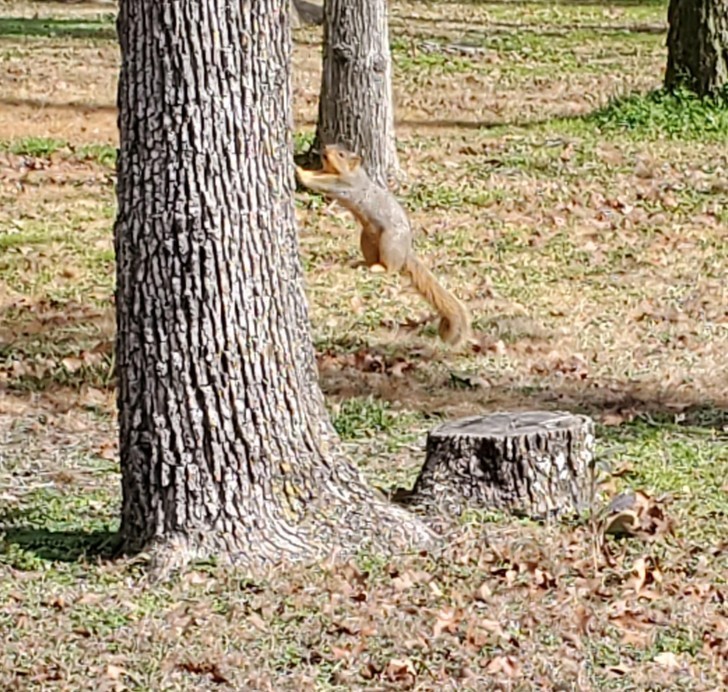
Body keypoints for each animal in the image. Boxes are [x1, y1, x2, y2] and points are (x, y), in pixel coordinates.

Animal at [296, 145, 472, 346]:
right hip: (367, 240)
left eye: (341, 154)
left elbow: (320, 183)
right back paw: (363, 263)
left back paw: (379, 268)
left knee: (392, 268)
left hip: (389, 243)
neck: (355, 173)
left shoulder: (343, 185)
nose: (325, 148)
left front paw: (298, 171)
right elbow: (316, 174)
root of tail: (406, 253)